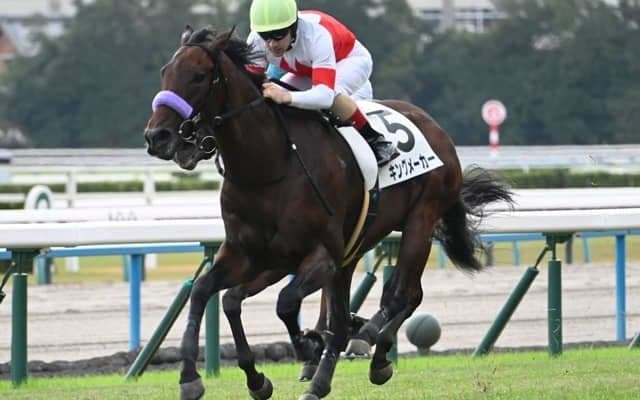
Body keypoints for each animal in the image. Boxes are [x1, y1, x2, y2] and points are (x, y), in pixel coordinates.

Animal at [143, 26, 513, 400]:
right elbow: (207, 292)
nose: (157, 136)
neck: (269, 166)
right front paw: (199, 378)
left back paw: (367, 344)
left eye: (199, 76)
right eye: (164, 72)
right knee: (380, 301)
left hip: (420, 221)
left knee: (400, 294)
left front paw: (307, 346)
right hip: (357, 244)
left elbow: (286, 303)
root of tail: (437, 130)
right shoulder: (249, 253)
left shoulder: (320, 255)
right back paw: (334, 371)